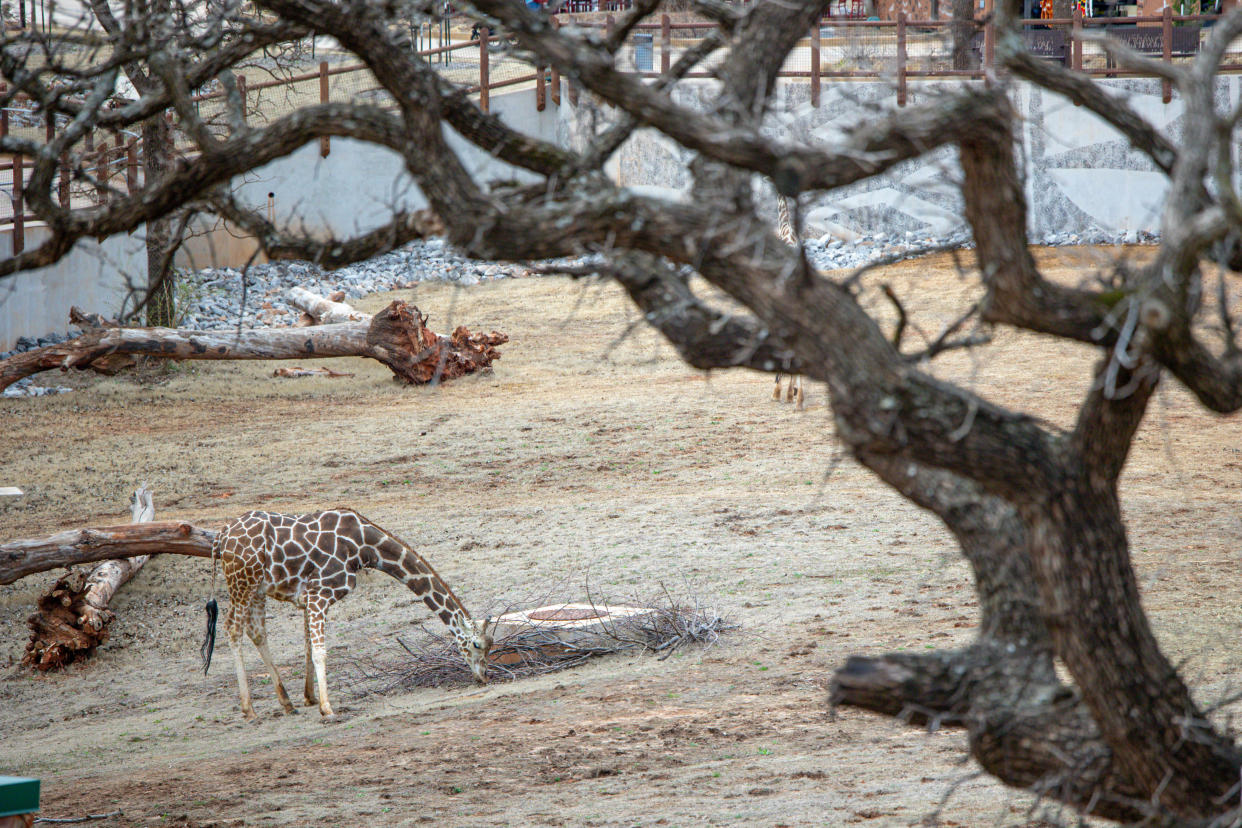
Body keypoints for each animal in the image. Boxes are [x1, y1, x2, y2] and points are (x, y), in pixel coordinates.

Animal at [201, 506, 491, 720]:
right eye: (477, 645)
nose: (484, 676)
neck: (366, 547)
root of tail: (221, 536)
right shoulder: (321, 593)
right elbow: (320, 651)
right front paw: (327, 708)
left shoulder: (308, 597)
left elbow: (308, 646)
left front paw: (310, 698)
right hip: (242, 582)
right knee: (233, 629)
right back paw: (248, 709)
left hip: (256, 588)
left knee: (257, 632)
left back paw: (286, 703)